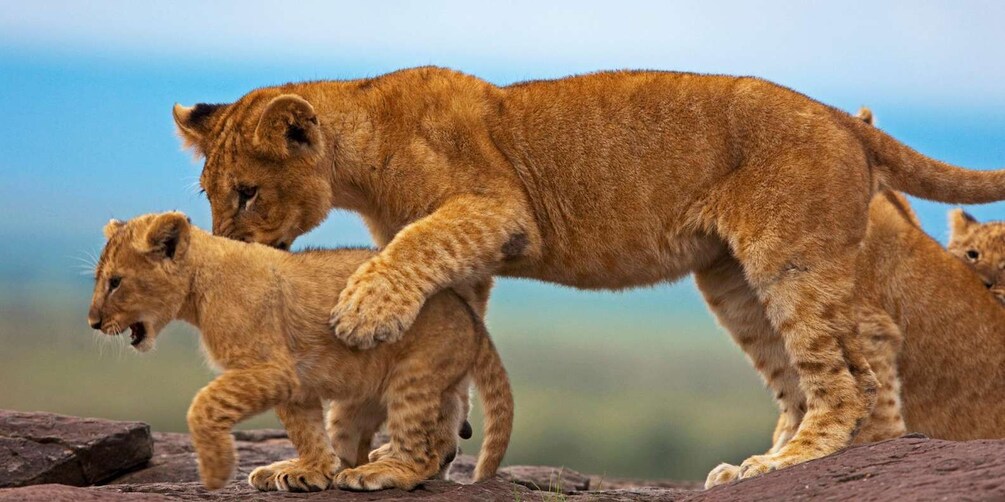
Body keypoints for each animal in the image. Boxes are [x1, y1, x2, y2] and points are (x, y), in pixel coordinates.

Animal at [86, 212, 513, 491]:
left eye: (115, 282)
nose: (92, 322)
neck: (198, 288)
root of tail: (473, 319)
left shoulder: (272, 370)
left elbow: (204, 404)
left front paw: (217, 470)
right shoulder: (295, 380)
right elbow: (305, 428)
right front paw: (312, 470)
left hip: (415, 377)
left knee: (421, 456)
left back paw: (378, 473)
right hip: (362, 398)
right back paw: (328, 467)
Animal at [173, 67, 1005, 478]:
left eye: (245, 192)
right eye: (211, 194)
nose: (226, 244)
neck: (361, 144)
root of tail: (838, 116)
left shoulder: (493, 209)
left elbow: (407, 256)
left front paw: (362, 315)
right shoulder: (467, 260)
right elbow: (444, 348)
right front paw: (390, 461)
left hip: (787, 258)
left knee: (843, 370)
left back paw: (786, 464)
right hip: (731, 279)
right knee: (838, 353)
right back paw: (793, 456)